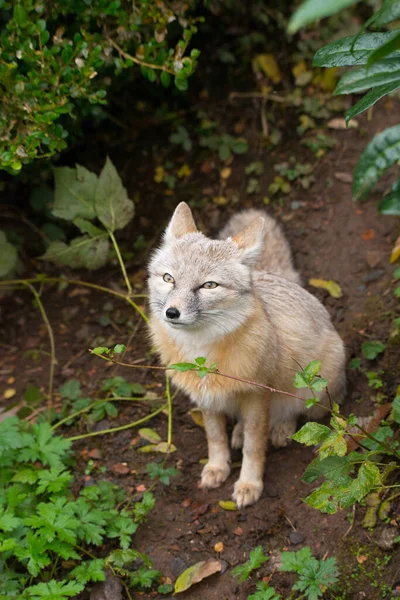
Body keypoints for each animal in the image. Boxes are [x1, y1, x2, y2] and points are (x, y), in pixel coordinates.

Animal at [148, 202, 346, 506]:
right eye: (169, 279)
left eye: (209, 285)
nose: (172, 312)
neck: (201, 353)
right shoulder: (206, 397)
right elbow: (215, 437)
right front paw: (217, 467)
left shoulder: (258, 394)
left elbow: (255, 444)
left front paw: (249, 483)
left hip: (312, 389)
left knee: (293, 412)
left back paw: (281, 428)